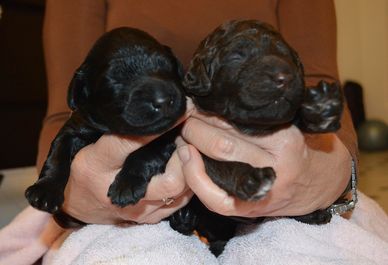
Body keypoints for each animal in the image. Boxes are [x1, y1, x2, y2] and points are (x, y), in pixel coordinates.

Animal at [25, 26, 186, 216]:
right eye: (116, 79)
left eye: (168, 67)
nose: (163, 100)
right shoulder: (75, 127)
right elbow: (57, 155)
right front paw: (45, 190)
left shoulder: (166, 137)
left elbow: (146, 153)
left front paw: (126, 185)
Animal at [170, 19, 342, 255]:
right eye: (237, 56)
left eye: (287, 56)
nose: (284, 77)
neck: (252, 127)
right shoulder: (195, 145)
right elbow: (222, 164)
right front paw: (251, 178)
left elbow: (298, 116)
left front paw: (321, 108)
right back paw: (185, 219)